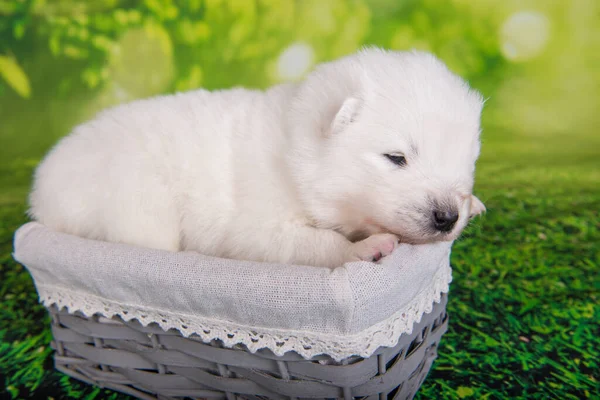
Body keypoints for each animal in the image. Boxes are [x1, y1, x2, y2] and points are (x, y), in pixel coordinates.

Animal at [30, 49, 486, 268]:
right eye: (396, 158)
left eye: (465, 162)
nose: (447, 218)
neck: (296, 155)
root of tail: (42, 188)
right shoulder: (257, 227)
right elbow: (314, 243)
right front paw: (366, 249)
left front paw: (475, 203)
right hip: (134, 203)